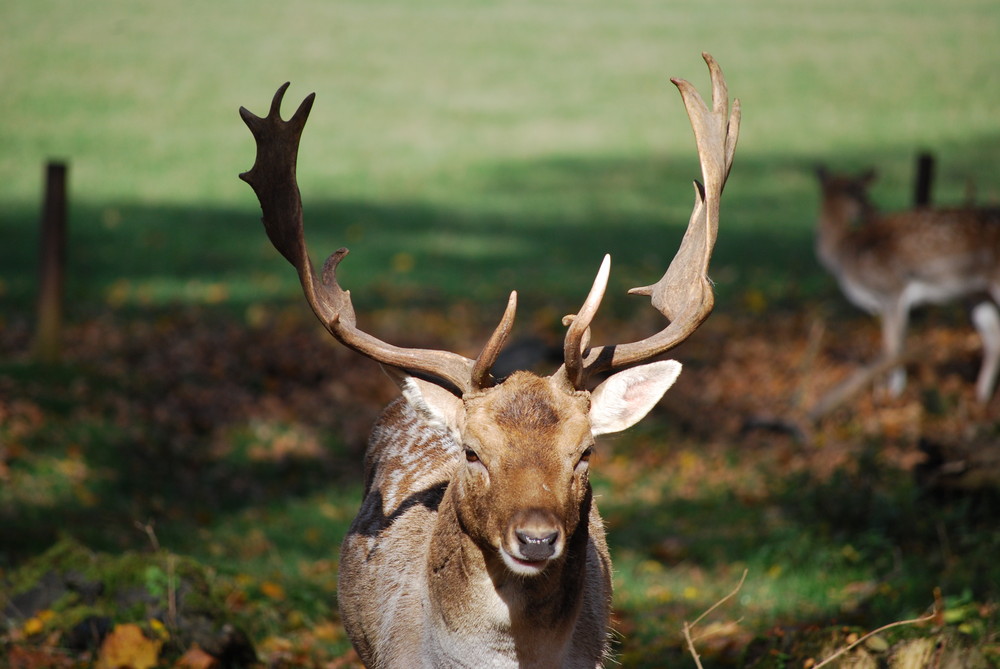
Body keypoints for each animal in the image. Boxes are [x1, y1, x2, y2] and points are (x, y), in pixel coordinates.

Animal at [812, 167, 1000, 402]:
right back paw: (980, 397)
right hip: (976, 293)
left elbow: (893, 345)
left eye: (862, 193)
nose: (874, 209)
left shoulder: (891, 289)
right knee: (993, 339)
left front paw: (893, 394)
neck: (844, 254)